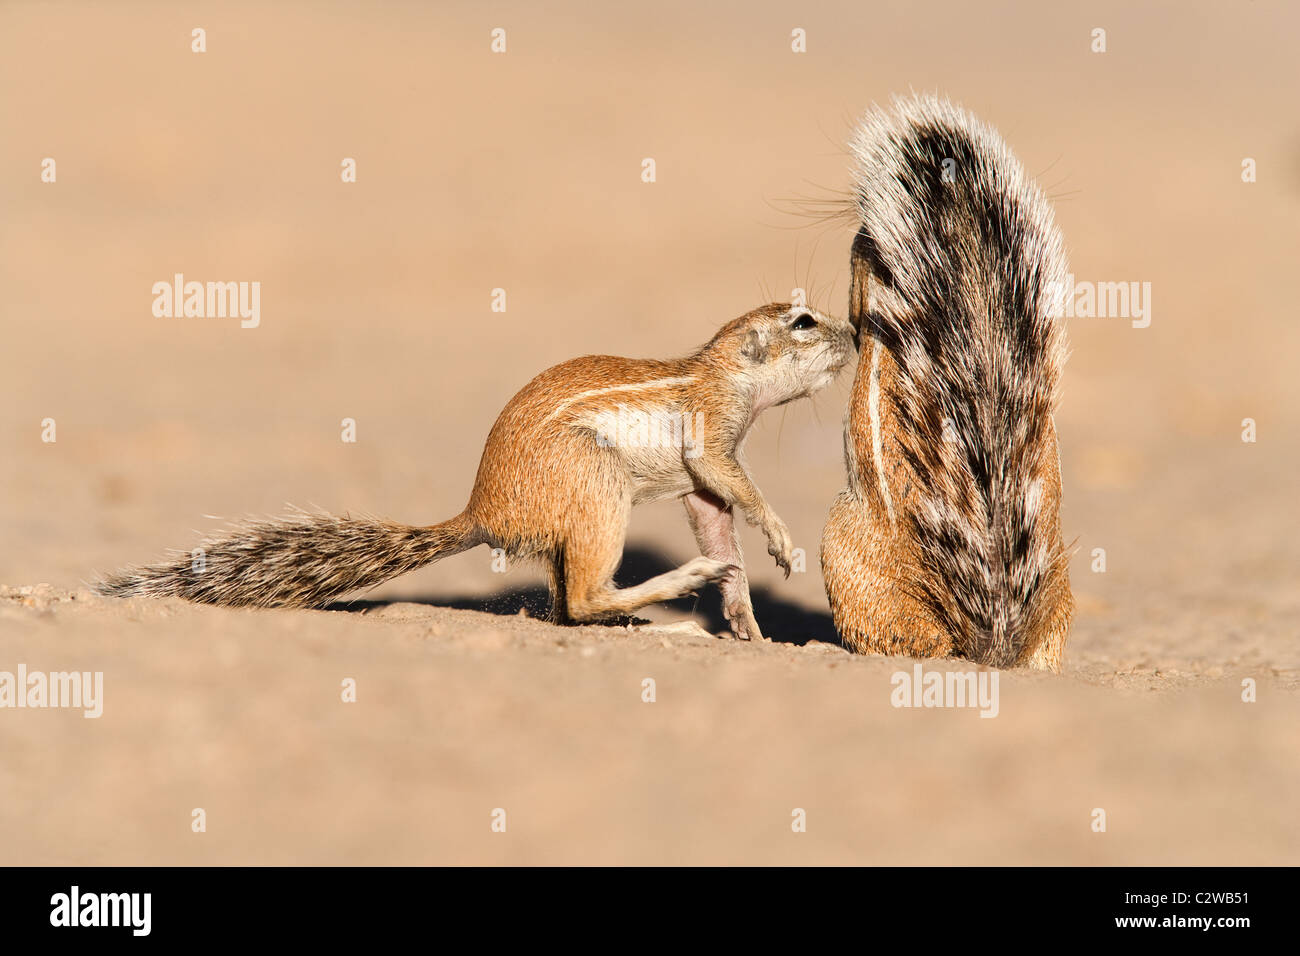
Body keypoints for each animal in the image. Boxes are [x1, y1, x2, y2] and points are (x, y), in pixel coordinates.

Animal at [98, 303, 852, 639]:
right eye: (804, 321)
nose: (852, 331)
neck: (720, 369)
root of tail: (482, 513)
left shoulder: (701, 490)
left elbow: (719, 523)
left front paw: (748, 624)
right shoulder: (710, 434)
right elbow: (736, 488)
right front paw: (778, 538)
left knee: (567, 609)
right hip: (596, 484)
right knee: (584, 598)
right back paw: (678, 602)